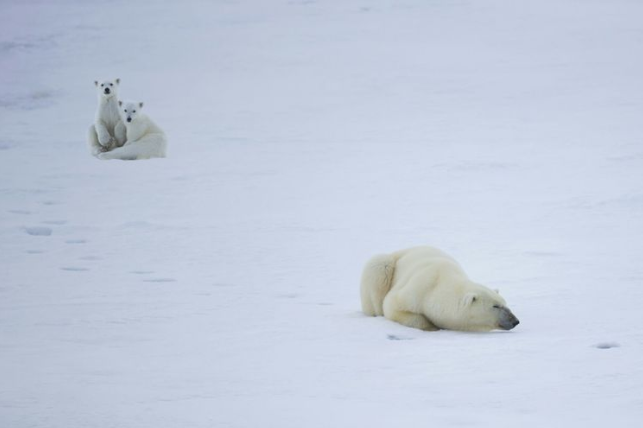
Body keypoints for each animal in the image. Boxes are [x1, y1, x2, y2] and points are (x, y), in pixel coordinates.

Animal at [360, 246, 520, 332]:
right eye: (495, 306)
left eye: (505, 303)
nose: (515, 321)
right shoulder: (417, 287)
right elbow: (392, 306)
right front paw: (432, 327)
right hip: (386, 264)